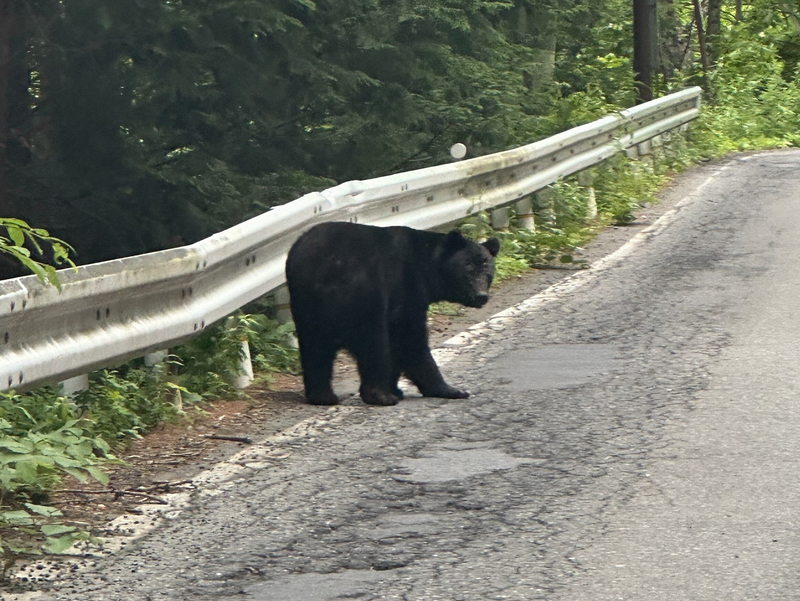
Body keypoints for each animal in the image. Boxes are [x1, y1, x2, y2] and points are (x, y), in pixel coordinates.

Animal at [285, 221, 500, 406]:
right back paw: (380, 395)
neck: (428, 267)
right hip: (364, 296)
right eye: (468, 269)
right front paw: (449, 389)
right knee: (373, 341)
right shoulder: (406, 289)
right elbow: (408, 337)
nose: (481, 296)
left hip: (306, 306)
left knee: (315, 348)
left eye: (487, 269)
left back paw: (323, 396)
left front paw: (397, 388)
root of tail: (325, 270)